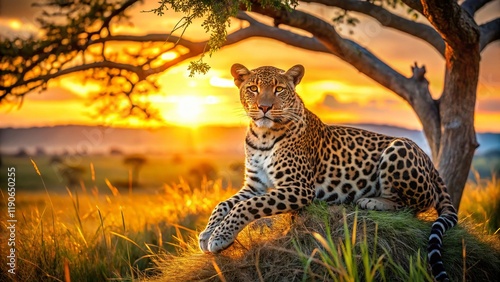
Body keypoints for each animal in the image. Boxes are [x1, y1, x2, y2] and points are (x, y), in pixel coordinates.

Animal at [198, 64, 458, 282]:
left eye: (279, 89)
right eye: (253, 88)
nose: (264, 107)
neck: (262, 135)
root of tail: (430, 161)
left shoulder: (299, 188)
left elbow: (245, 207)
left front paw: (220, 237)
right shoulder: (254, 186)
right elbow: (223, 204)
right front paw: (207, 233)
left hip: (399, 147)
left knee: (413, 207)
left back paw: (371, 201)